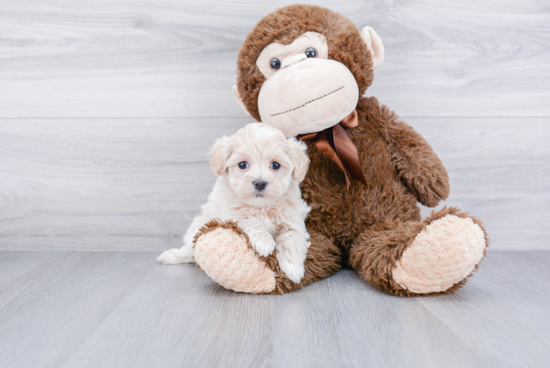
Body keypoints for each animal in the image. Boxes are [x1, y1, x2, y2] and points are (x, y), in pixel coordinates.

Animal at [157, 122, 312, 284]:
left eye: (276, 165)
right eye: (242, 164)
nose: (260, 183)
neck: (261, 206)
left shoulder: (293, 220)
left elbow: (292, 239)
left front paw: (293, 270)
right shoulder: (230, 214)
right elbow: (251, 220)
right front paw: (264, 242)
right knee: (189, 250)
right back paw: (171, 256)